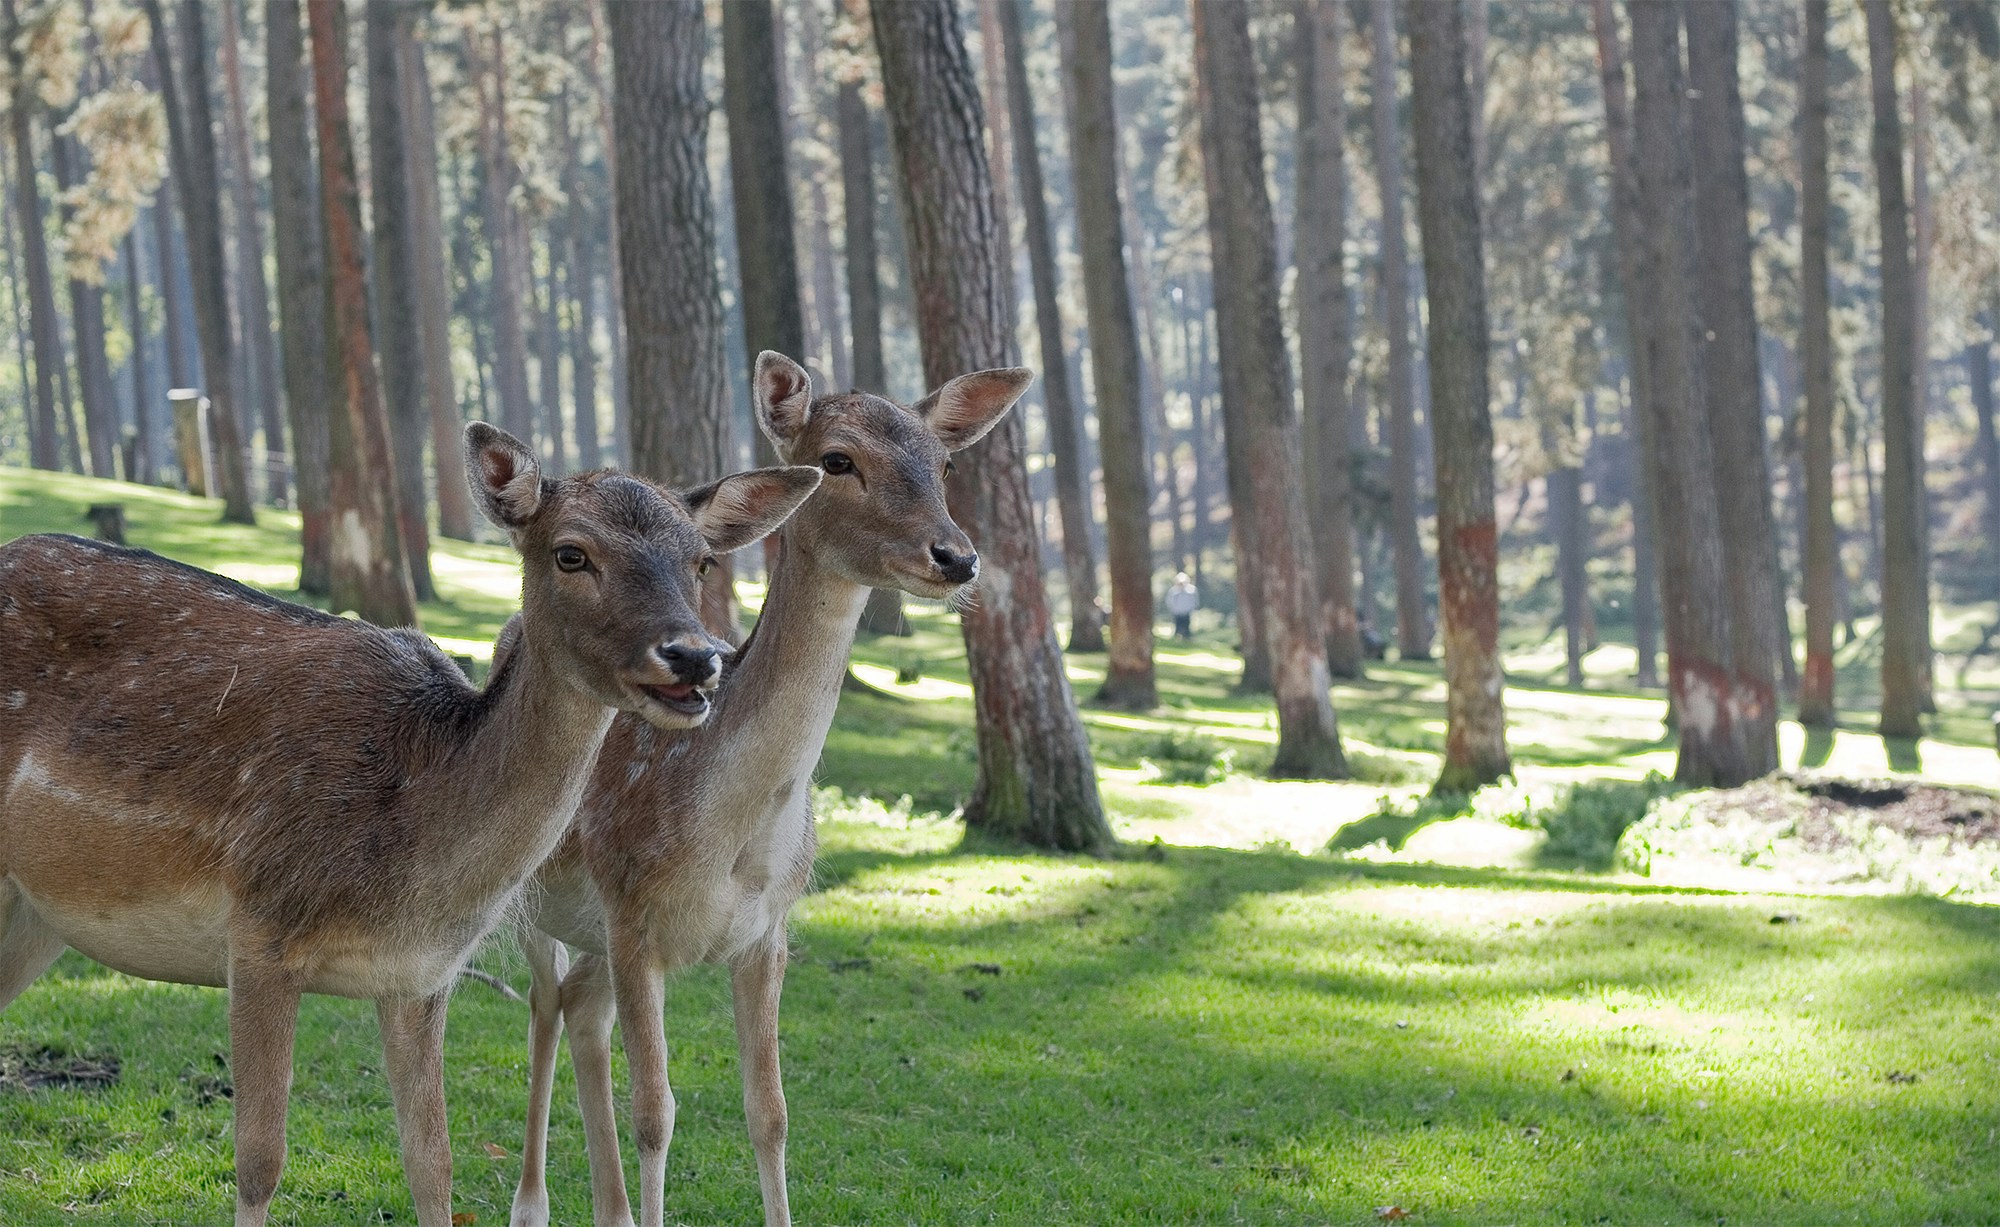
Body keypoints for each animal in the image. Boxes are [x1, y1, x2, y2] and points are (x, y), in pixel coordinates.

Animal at [0, 425, 820, 1227]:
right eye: (571, 552)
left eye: (702, 559)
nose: (693, 657)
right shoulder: (258, 928)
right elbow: (260, 1162)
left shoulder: (420, 977)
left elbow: (434, 1169)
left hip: (35, 913)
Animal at [504, 353, 1032, 1227]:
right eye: (837, 460)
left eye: (946, 464)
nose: (957, 557)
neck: (733, 839)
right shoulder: (632, 914)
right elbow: (657, 1113)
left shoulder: (768, 930)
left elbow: (772, 1113)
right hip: (528, 893)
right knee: (545, 1006)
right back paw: (531, 1203)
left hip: (591, 934)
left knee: (581, 1010)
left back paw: (609, 1208)